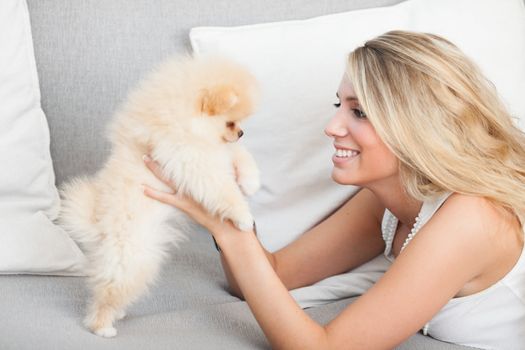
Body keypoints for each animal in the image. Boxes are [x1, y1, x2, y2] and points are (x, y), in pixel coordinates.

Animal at [57, 56, 260, 338]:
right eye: (230, 123)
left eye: (239, 123)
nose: (241, 133)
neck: (185, 121)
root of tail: (99, 228)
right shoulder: (193, 158)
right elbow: (222, 188)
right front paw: (243, 217)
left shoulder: (215, 151)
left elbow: (239, 155)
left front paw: (251, 181)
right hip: (134, 259)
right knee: (109, 292)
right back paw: (103, 326)